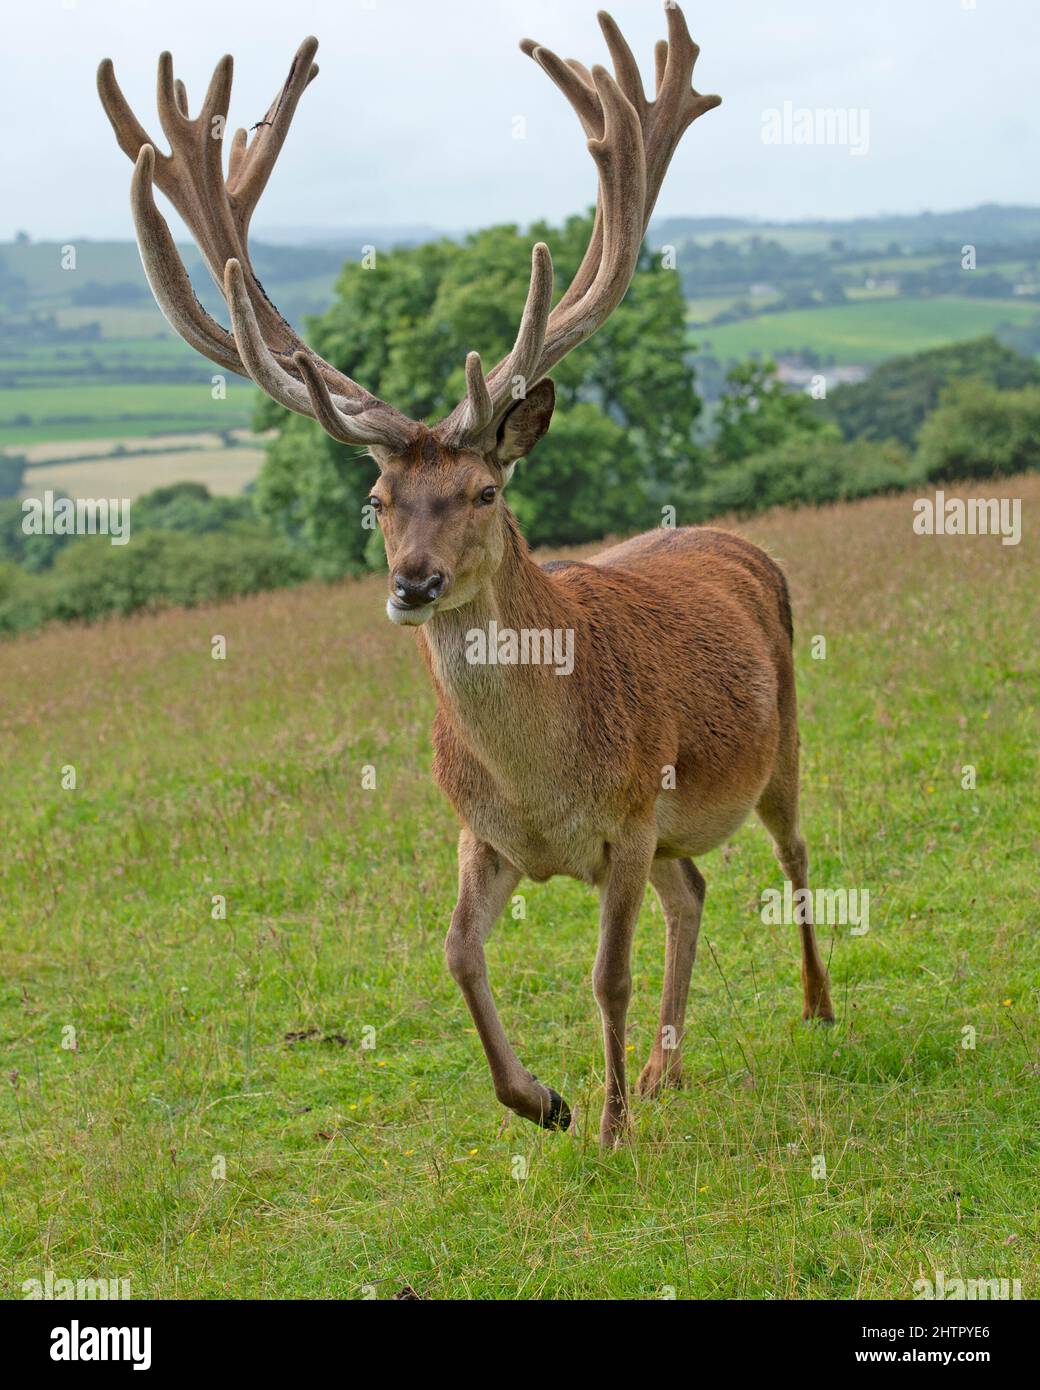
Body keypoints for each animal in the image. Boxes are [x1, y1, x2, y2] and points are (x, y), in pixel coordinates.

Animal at [98, 2, 835, 1149]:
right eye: (377, 500)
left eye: (484, 491)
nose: (413, 584)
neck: (545, 785)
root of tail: (735, 540)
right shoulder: (480, 834)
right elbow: (454, 952)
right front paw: (545, 1100)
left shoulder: (631, 817)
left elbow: (606, 976)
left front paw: (609, 1127)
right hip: (684, 822)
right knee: (698, 891)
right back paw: (664, 1071)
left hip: (781, 736)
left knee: (795, 852)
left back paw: (813, 1007)